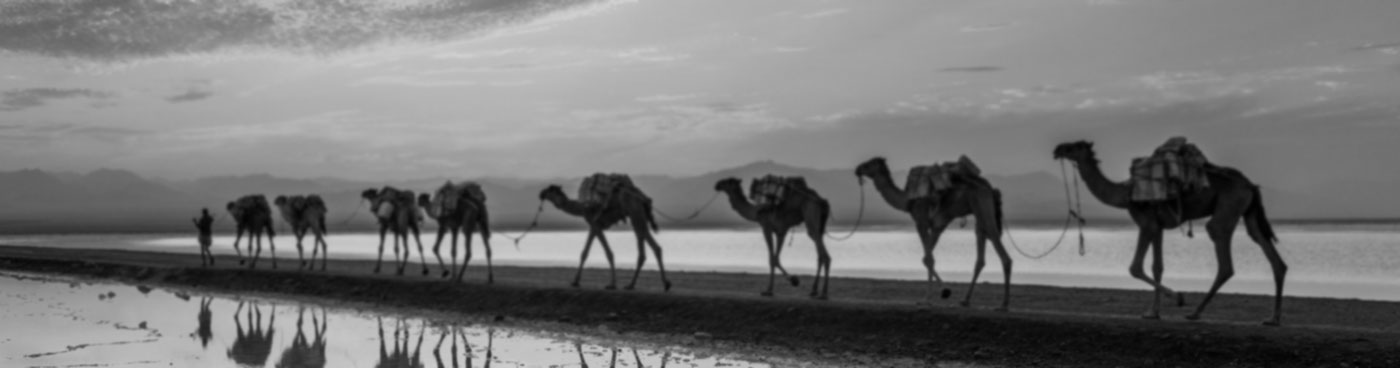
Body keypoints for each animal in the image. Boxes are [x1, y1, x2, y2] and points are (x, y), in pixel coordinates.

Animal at [540, 180, 672, 291]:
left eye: (549, 189)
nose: (541, 193)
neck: (583, 208)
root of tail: (643, 198)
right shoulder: (594, 226)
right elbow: (585, 253)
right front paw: (575, 282)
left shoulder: (595, 225)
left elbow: (607, 253)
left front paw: (612, 284)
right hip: (639, 216)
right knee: (648, 247)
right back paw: (647, 284)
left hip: (635, 214)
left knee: (649, 245)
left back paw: (648, 284)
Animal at [845, 157, 1013, 310]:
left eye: (869, 163)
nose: (857, 169)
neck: (908, 201)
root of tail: (991, 189)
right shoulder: (937, 226)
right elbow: (928, 258)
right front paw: (941, 292)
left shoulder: (921, 221)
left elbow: (928, 258)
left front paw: (932, 297)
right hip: (979, 212)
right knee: (981, 247)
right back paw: (965, 301)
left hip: (981, 204)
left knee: (999, 246)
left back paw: (1003, 304)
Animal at [1052, 141, 1288, 326]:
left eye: (1074, 146)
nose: (1057, 149)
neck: (1125, 194)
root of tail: (1251, 185)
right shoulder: (1158, 227)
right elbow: (1157, 266)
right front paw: (1153, 312)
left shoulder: (1146, 223)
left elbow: (1135, 267)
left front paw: (1178, 298)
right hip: (1248, 212)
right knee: (1268, 250)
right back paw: (1273, 318)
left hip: (1228, 206)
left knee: (1223, 253)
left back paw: (1194, 313)